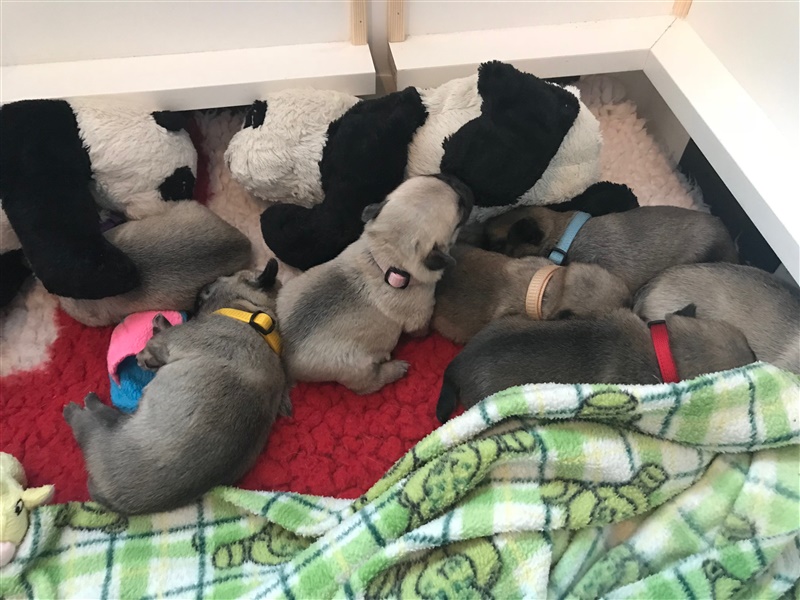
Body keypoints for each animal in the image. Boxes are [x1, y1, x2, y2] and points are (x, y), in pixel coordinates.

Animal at [64, 259, 289, 514]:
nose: (203, 285)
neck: (252, 314)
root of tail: (110, 500)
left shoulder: (168, 343)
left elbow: (155, 345)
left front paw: (152, 340)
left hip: (103, 431)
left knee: (88, 423)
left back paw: (80, 408)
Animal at [277, 174, 473, 394]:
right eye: (461, 209)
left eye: (437, 176)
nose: (461, 182)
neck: (385, 256)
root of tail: (287, 360)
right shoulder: (420, 313)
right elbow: (421, 329)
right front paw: (426, 332)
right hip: (357, 368)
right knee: (368, 384)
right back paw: (394, 369)